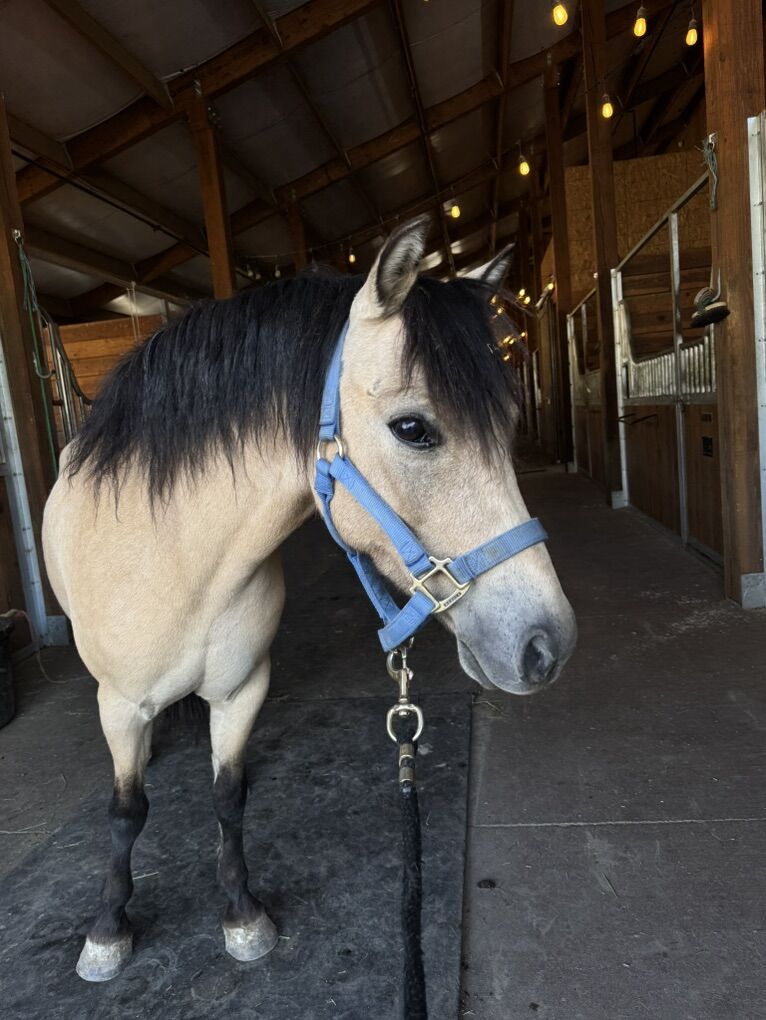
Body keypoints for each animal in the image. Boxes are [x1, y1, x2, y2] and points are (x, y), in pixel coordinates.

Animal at [42, 215, 577, 983]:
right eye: (413, 428)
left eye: (508, 421)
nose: (545, 644)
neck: (177, 558)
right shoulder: (118, 704)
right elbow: (125, 810)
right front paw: (108, 930)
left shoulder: (241, 691)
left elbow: (228, 794)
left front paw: (241, 914)